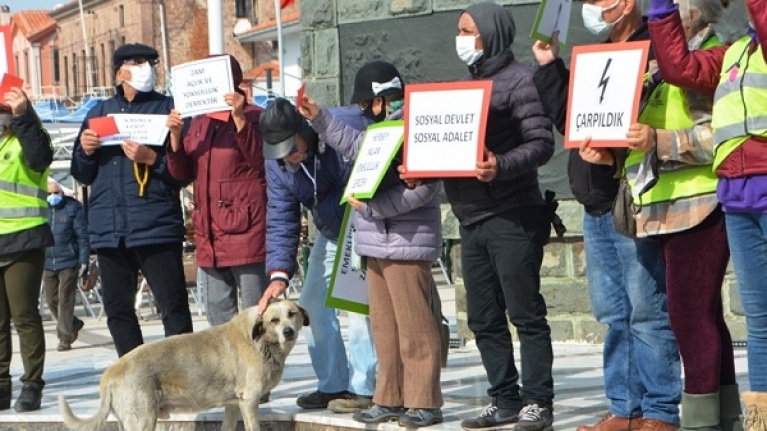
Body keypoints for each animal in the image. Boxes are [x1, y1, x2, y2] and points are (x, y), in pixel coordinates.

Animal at [59, 300, 308, 431]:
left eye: (292, 314)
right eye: (274, 320)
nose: (289, 332)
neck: (262, 340)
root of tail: (111, 371)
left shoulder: (233, 404)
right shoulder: (249, 401)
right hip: (143, 419)